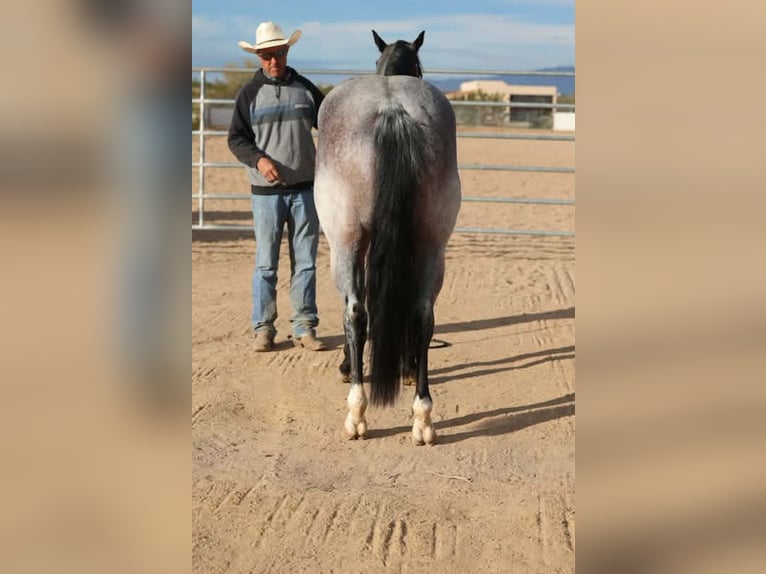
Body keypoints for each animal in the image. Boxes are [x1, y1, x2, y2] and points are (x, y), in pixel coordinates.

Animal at [314, 30, 461, 445]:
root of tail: (392, 109)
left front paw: (347, 366)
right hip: (432, 245)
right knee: (423, 313)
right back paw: (423, 417)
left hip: (344, 243)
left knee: (355, 312)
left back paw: (357, 413)